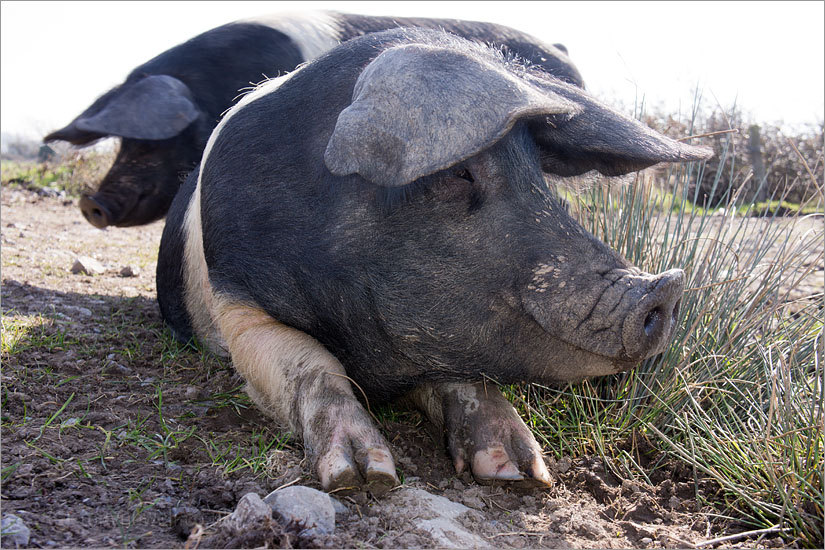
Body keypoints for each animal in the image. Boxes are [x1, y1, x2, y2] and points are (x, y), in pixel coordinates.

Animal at [158, 28, 712, 498]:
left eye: (539, 176)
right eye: (458, 172)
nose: (666, 289)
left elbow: (462, 377)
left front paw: (522, 472)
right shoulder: (236, 302)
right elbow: (309, 363)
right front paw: (365, 476)